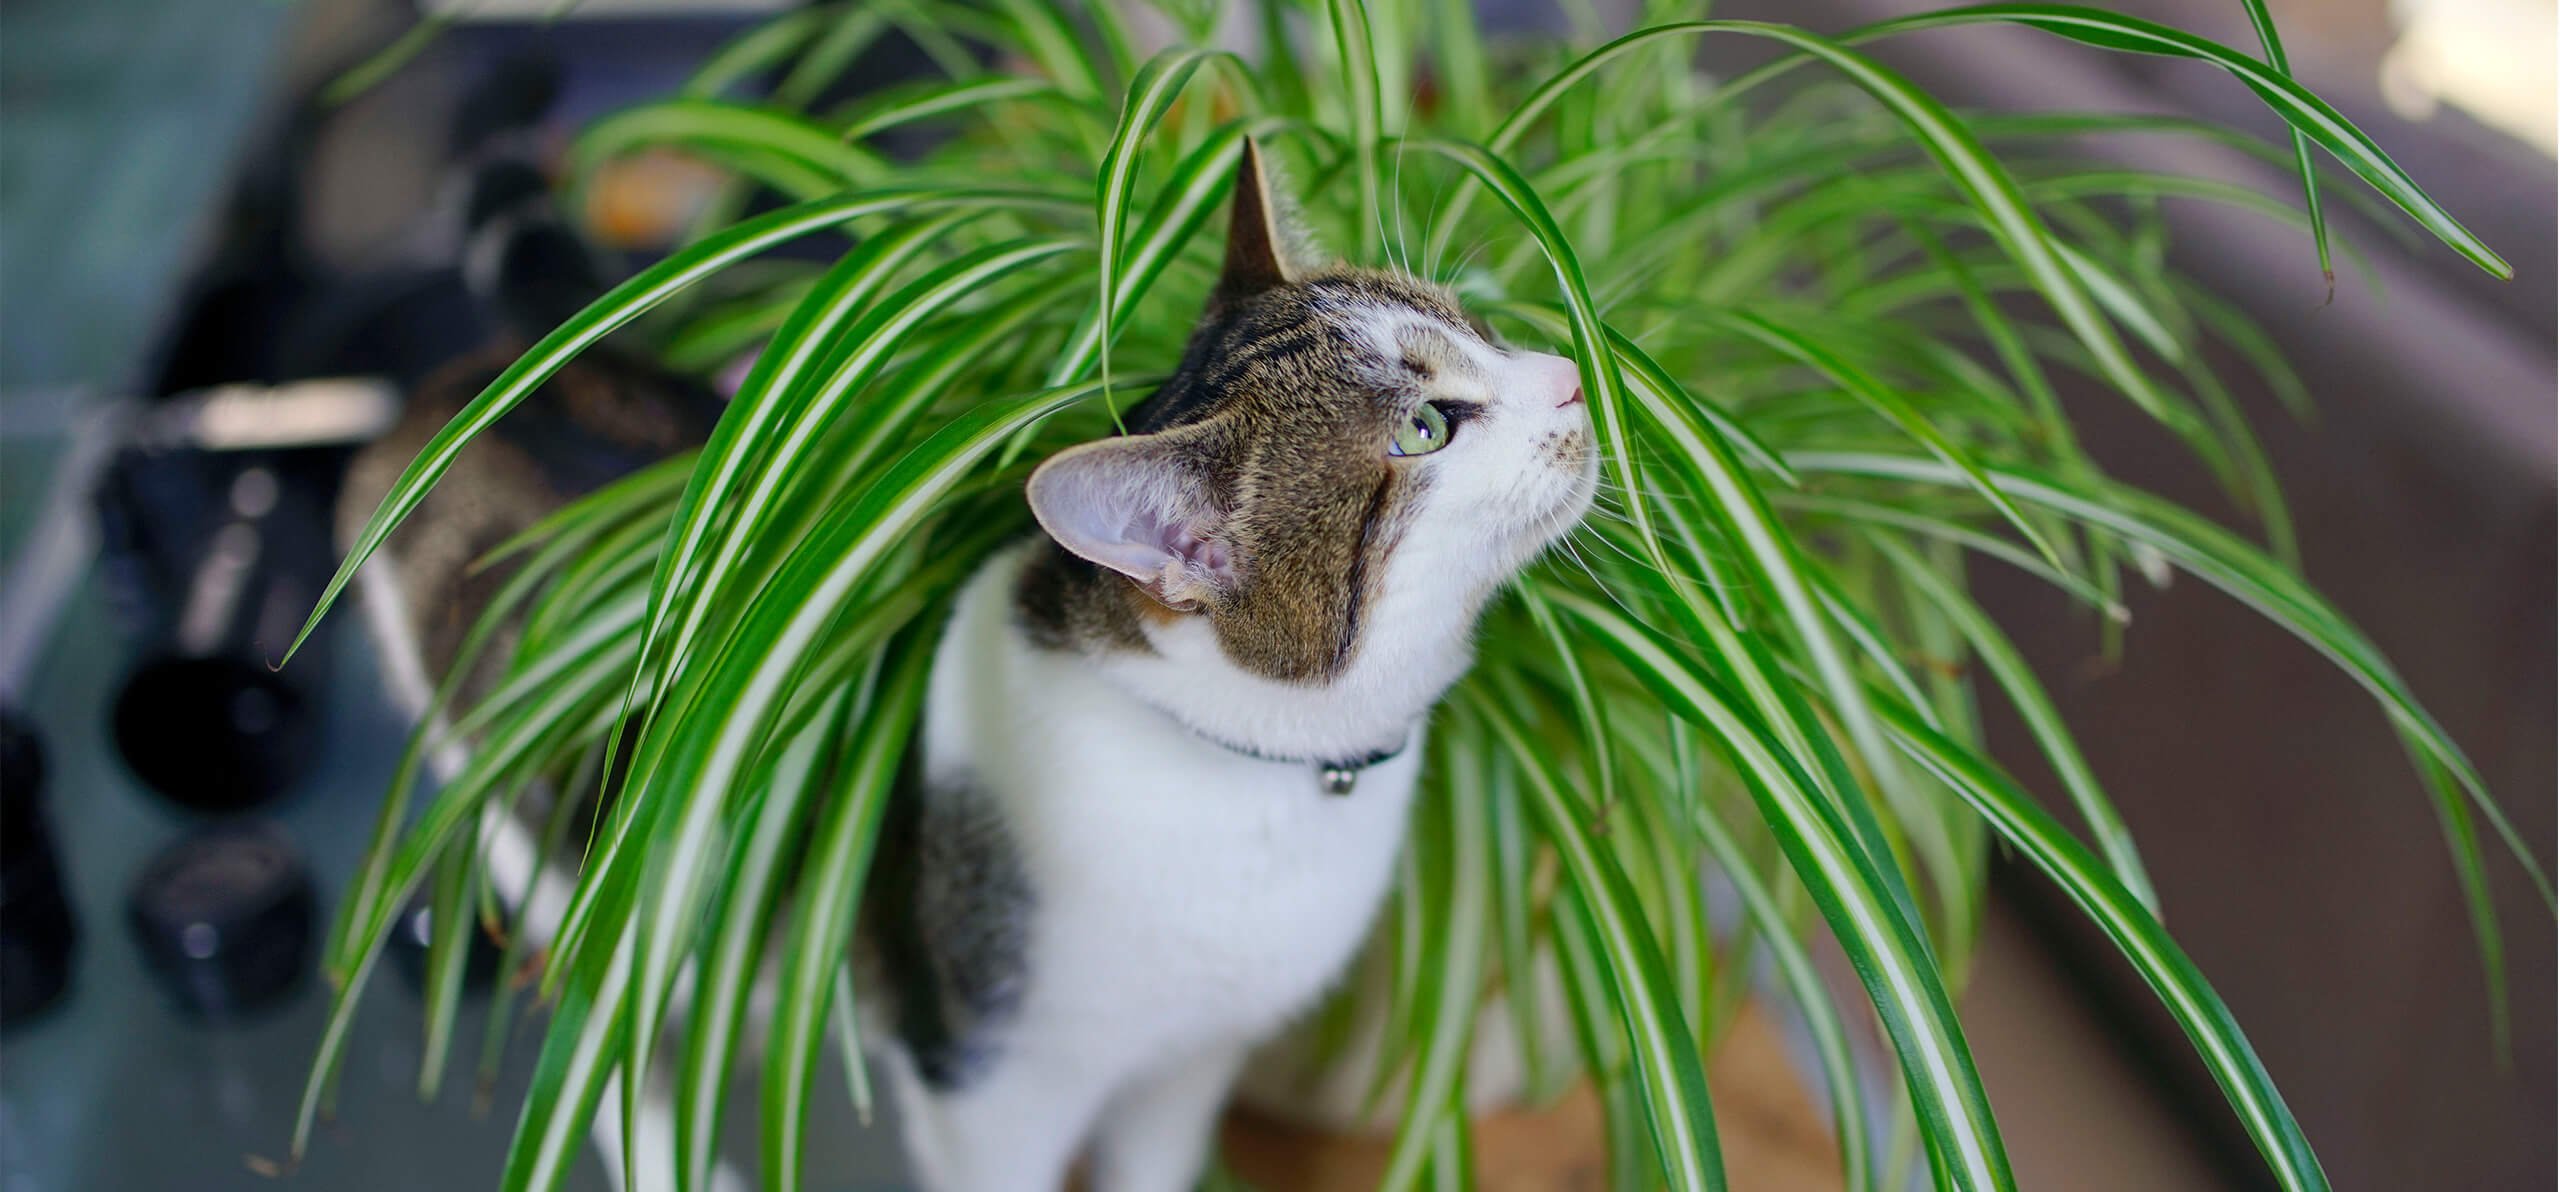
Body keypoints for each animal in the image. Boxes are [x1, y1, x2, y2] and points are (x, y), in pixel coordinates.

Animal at [340, 137, 1576, 1181]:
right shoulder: (989, 1093)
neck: (1245, 776)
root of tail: (498, 380)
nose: (1570, 374)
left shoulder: (1188, 1067)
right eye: (1425, 428)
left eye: (1471, 322)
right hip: (554, 854)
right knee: (587, 1023)